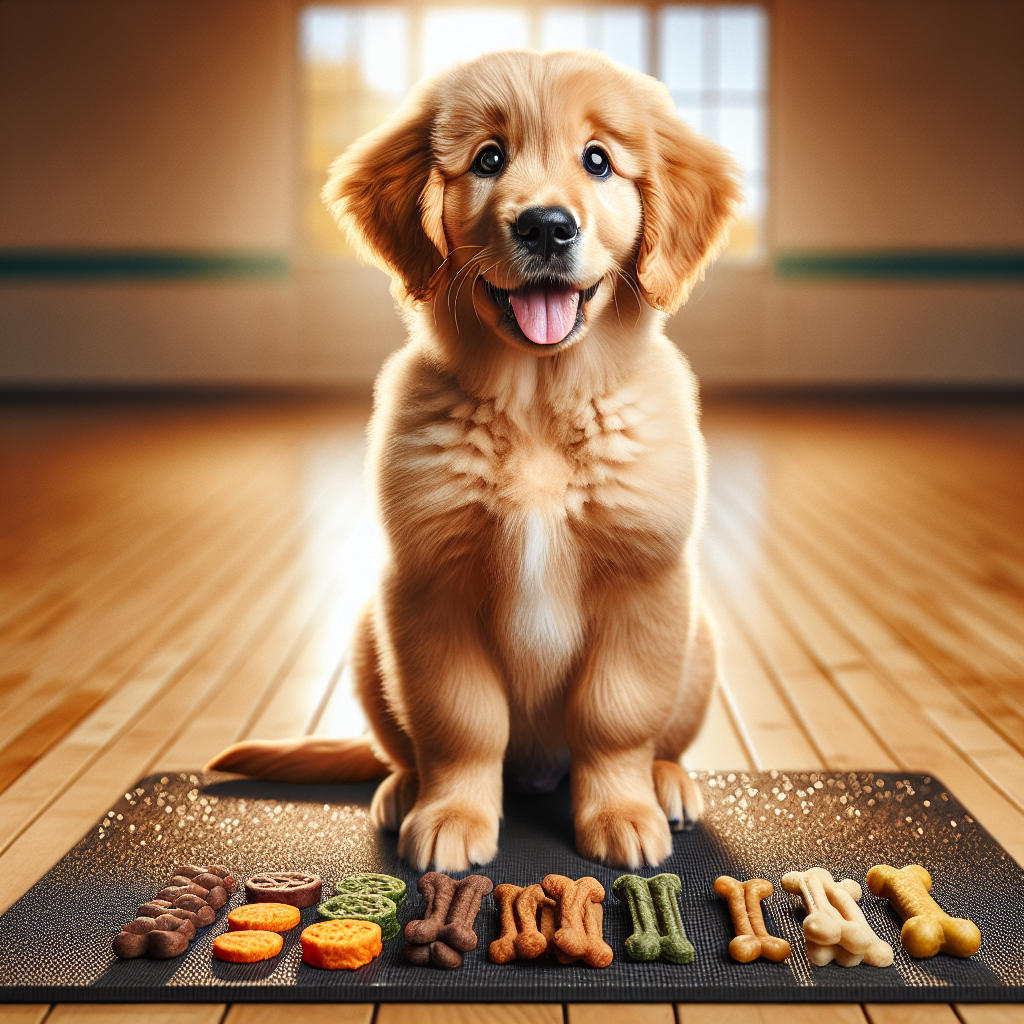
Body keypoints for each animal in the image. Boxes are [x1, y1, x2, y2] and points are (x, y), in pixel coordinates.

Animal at [209, 49, 737, 872]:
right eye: (490, 159)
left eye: (598, 161)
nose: (547, 226)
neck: (540, 404)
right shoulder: (431, 586)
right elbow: (462, 722)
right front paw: (452, 814)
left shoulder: (642, 578)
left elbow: (613, 714)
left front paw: (621, 811)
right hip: (369, 635)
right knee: (400, 747)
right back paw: (401, 791)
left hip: (699, 638)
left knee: (660, 738)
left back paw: (667, 782)